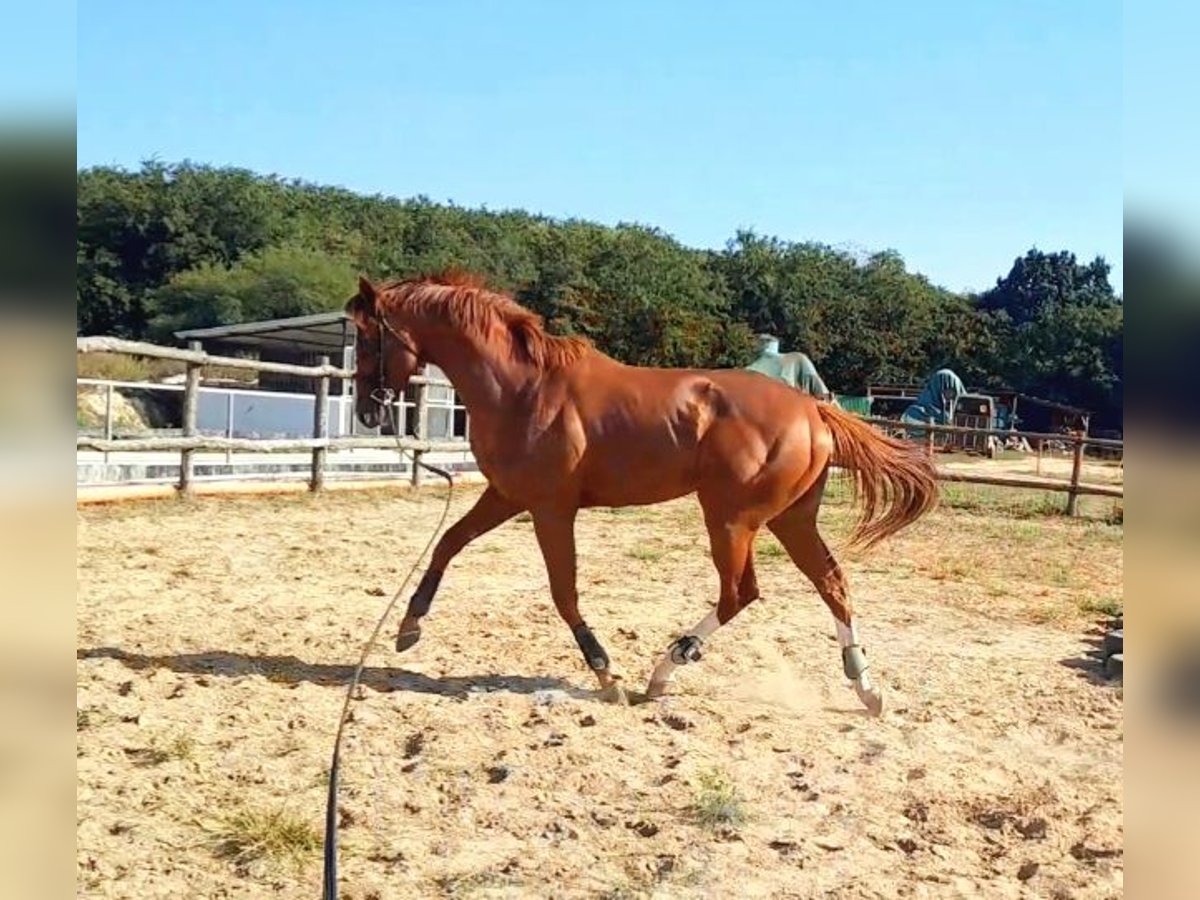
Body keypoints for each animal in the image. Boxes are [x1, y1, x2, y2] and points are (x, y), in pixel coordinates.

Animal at [345, 271, 936, 715]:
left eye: (368, 335)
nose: (367, 411)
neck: (523, 388)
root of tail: (813, 409)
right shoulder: (508, 496)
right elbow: (448, 542)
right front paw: (408, 627)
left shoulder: (550, 509)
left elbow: (563, 592)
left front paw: (606, 675)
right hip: (789, 519)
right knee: (830, 582)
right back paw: (866, 688)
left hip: (731, 519)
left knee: (740, 593)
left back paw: (664, 671)